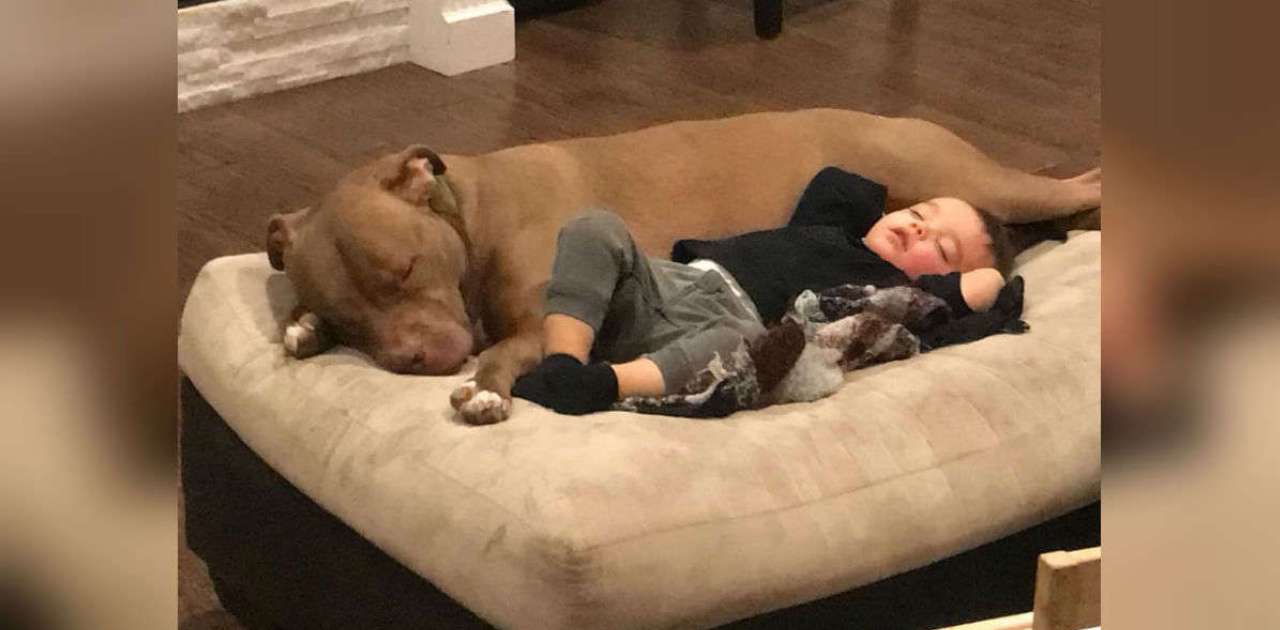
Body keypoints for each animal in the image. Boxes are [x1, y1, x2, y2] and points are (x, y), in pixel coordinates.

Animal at [265, 109, 1100, 424]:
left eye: (406, 268)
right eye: (351, 314)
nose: (418, 358)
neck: (470, 211)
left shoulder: (540, 319)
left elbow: (506, 349)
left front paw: (484, 386)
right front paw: (300, 326)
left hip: (981, 179)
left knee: (1082, 185)